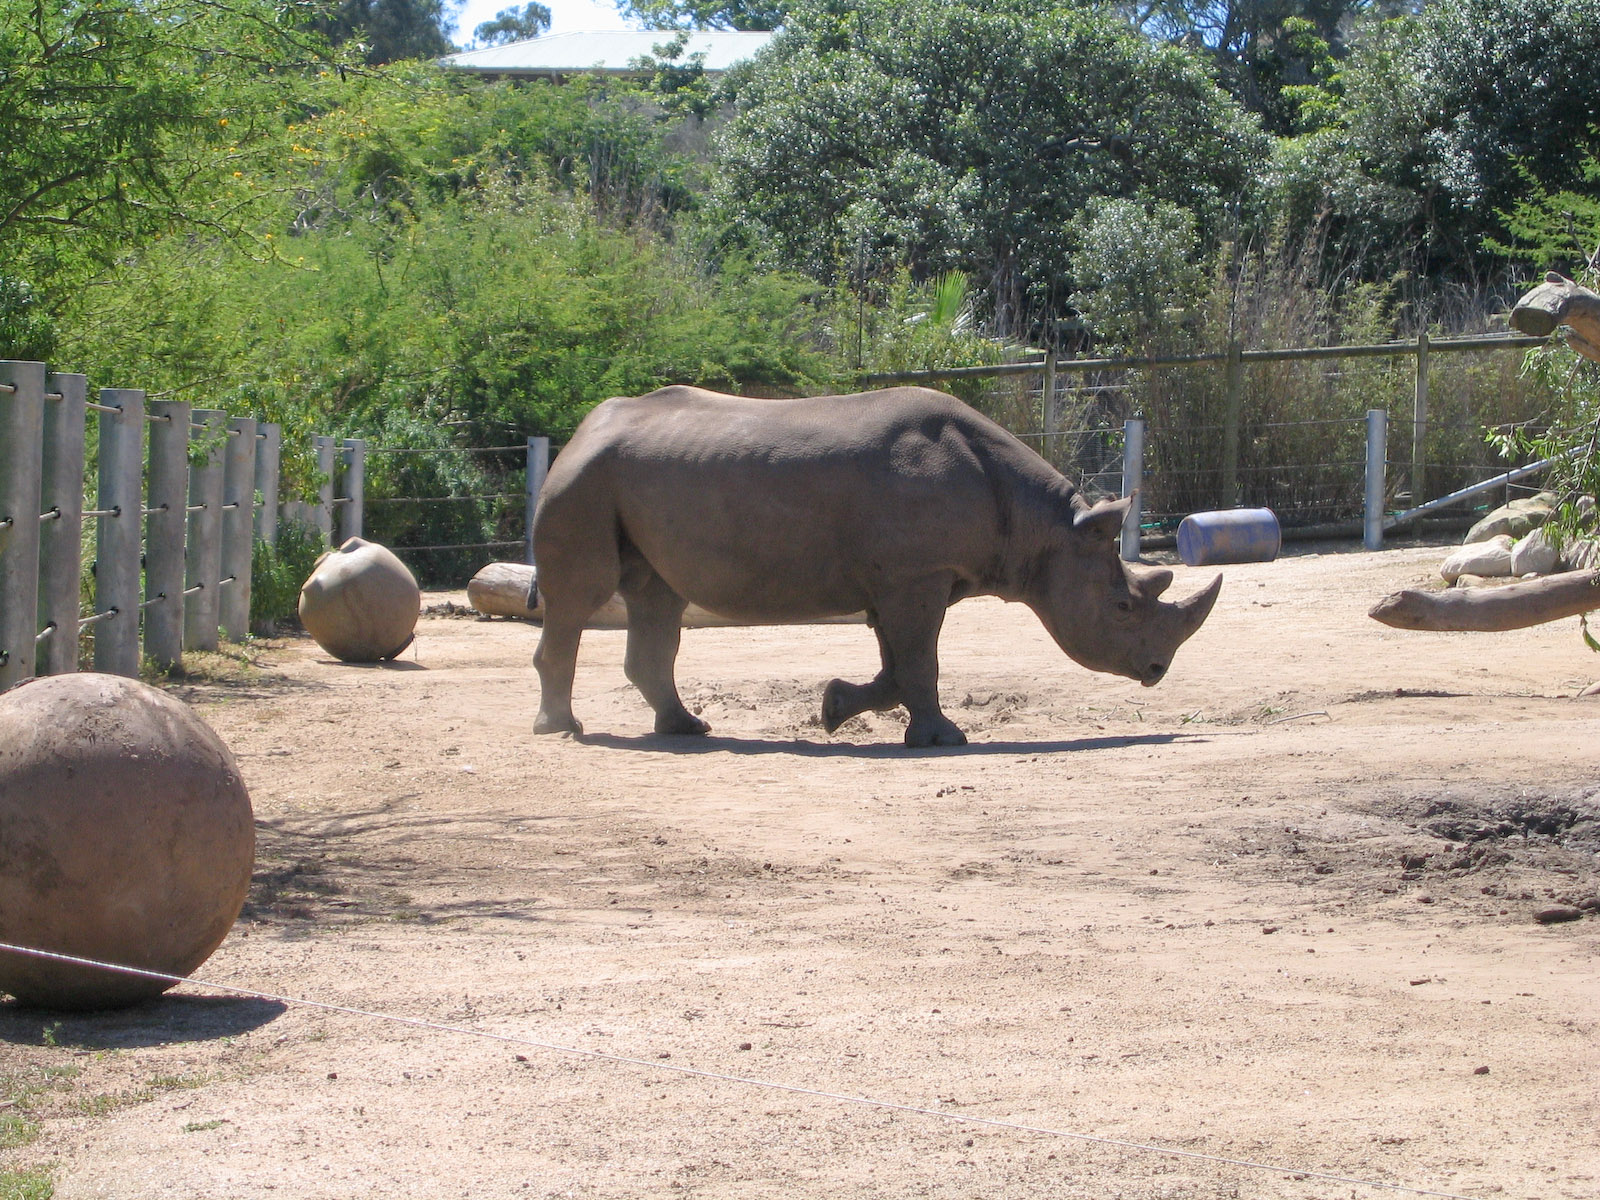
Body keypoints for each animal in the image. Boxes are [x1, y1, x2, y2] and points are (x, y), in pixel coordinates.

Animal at [531, 385, 1221, 747]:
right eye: (1123, 607)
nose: (1157, 671)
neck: (1043, 529)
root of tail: (581, 430)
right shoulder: (917, 576)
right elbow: (918, 661)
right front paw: (945, 740)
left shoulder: (906, 579)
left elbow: (899, 664)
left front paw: (834, 708)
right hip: (586, 481)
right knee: (581, 599)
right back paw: (563, 730)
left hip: (622, 479)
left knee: (657, 599)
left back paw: (687, 729)